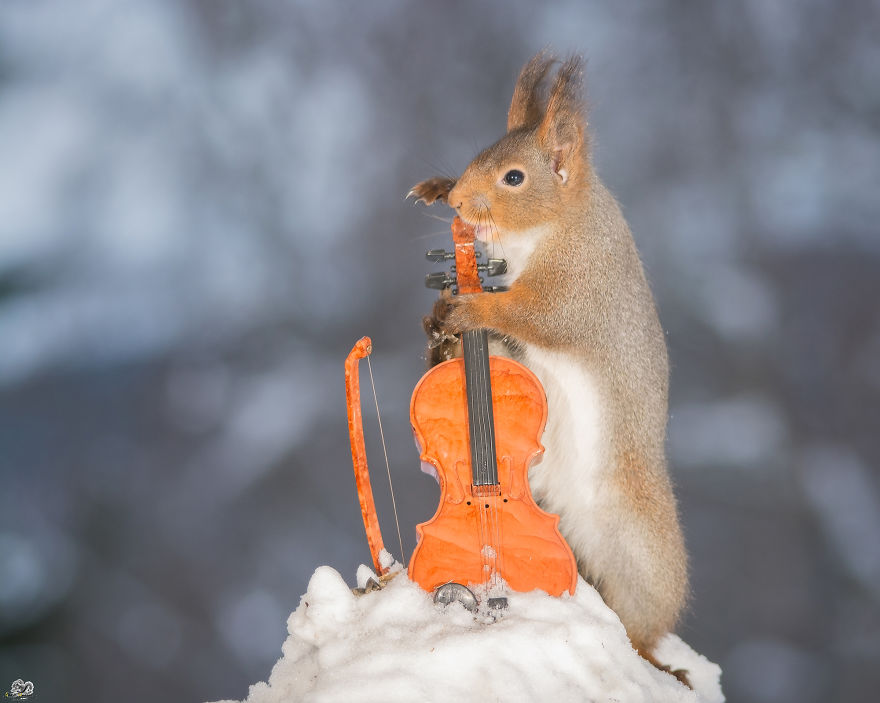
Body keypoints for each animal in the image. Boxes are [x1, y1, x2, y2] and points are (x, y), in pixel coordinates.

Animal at [408, 53, 689, 682]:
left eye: (514, 178)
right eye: (480, 154)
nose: (457, 203)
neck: (550, 226)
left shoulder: (577, 288)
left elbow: (533, 315)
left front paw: (470, 307)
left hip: (640, 550)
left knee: (642, 625)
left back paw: (653, 660)